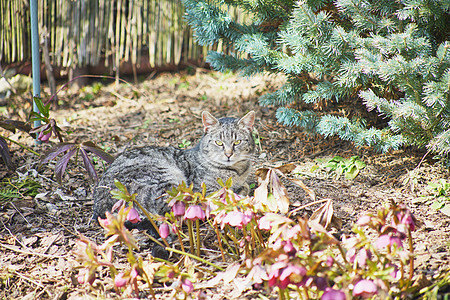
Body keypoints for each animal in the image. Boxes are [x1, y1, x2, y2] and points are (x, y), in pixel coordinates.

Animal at [92, 110, 255, 218]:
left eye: (237, 142)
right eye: (219, 142)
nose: (228, 154)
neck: (237, 170)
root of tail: (100, 206)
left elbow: (244, 186)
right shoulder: (204, 189)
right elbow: (225, 194)